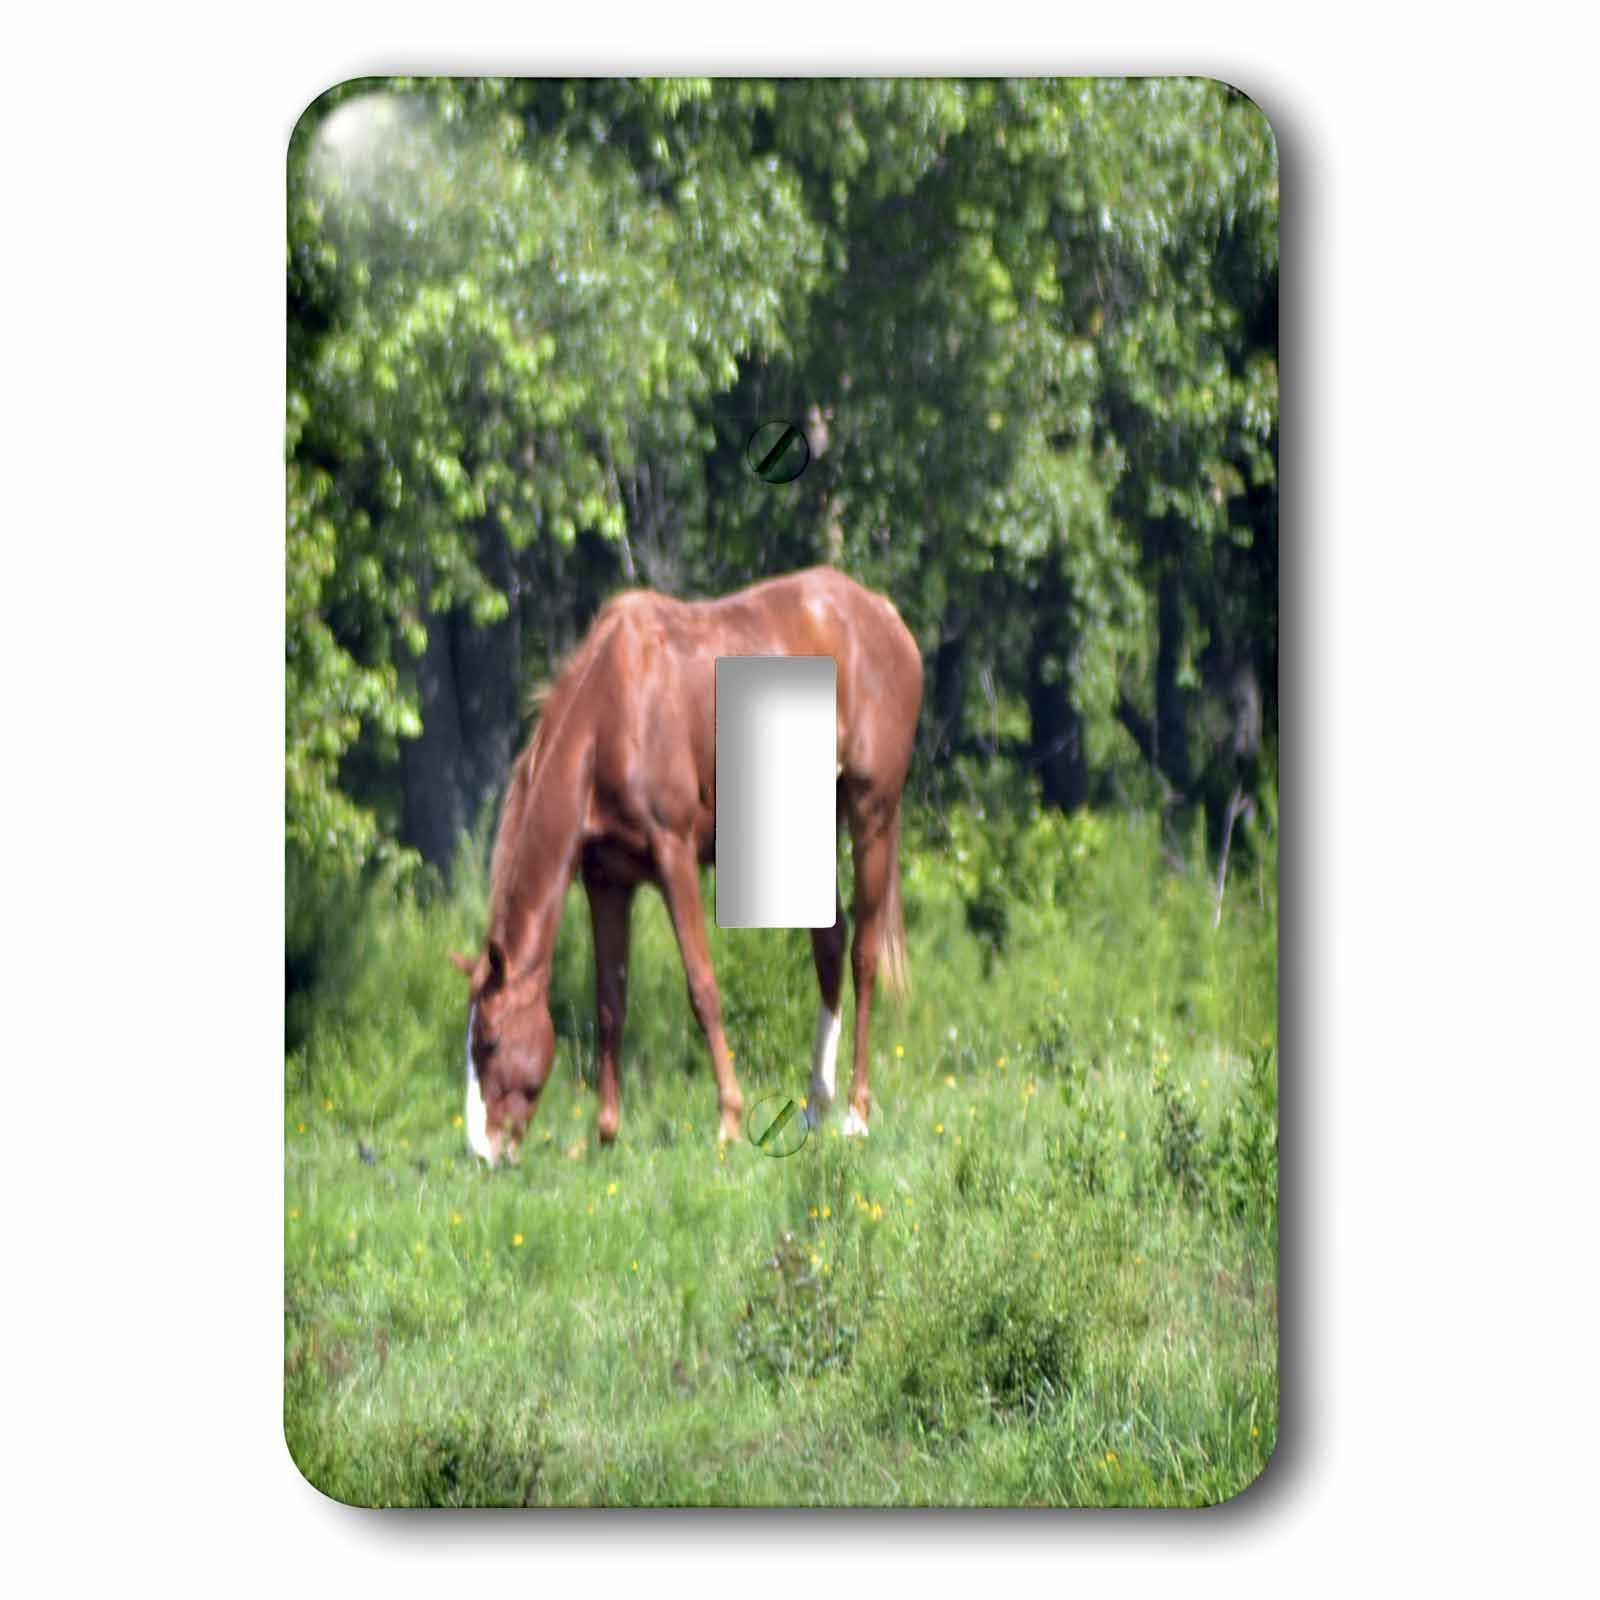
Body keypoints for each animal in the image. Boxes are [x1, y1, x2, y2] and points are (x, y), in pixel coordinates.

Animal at [450, 566, 923, 1165]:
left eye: (488, 1042)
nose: (480, 1151)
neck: (611, 712)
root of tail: (884, 616)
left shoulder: (674, 859)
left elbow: (702, 988)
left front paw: (729, 1119)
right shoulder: (607, 881)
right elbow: (610, 1001)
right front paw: (606, 1132)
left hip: (871, 814)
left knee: (864, 957)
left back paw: (857, 1115)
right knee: (831, 950)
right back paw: (815, 1108)